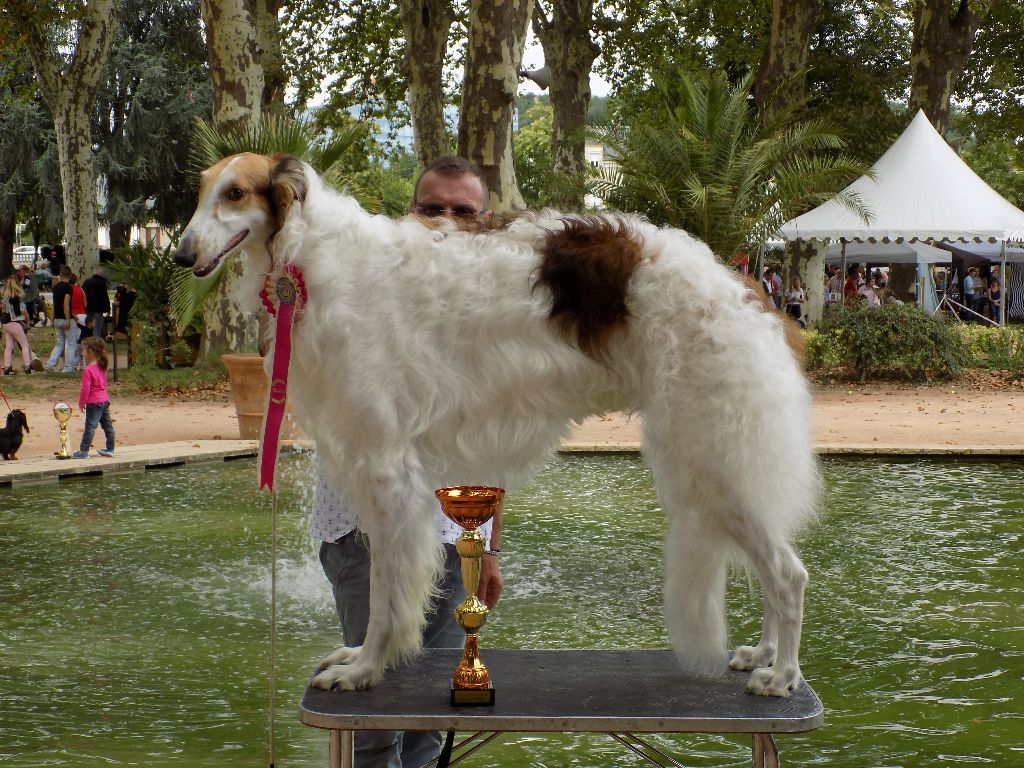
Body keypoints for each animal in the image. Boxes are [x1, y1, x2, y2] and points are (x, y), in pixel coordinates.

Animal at [174, 153, 815, 700]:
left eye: (235, 193)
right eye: (201, 191)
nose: (181, 255)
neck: (316, 256)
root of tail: (741, 286)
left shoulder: (387, 468)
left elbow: (387, 595)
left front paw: (367, 667)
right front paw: (361, 659)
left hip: (713, 459)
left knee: (789, 573)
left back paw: (782, 674)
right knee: (774, 570)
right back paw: (760, 654)